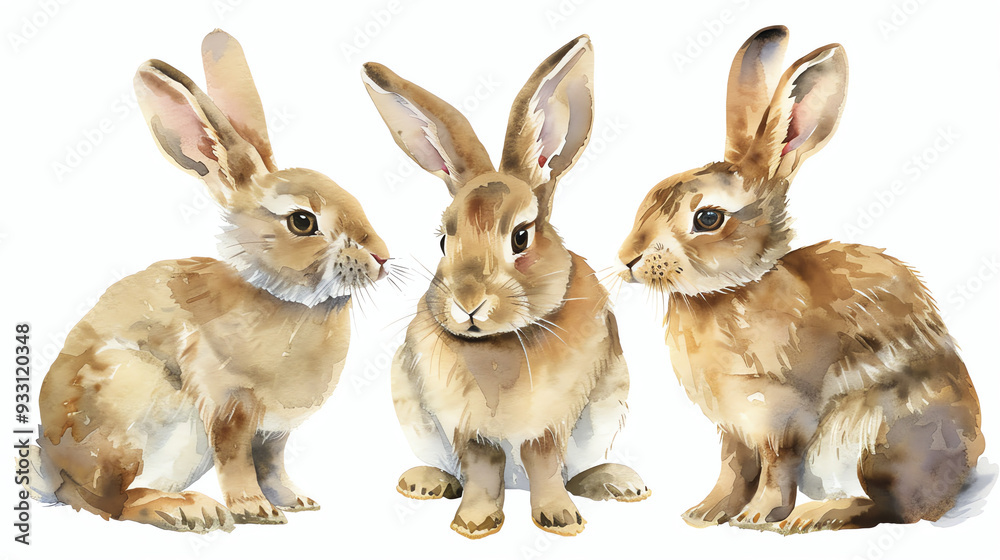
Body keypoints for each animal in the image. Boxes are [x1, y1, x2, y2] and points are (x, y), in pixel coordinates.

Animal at [22, 30, 391, 533]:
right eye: (302, 222)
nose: (382, 257)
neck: (287, 299)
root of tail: (53, 467)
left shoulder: (274, 431)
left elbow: (272, 464)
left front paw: (295, 501)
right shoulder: (230, 406)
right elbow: (236, 460)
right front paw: (254, 510)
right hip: (131, 409)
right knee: (107, 502)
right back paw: (187, 508)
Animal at [362, 35, 648, 539]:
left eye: (521, 237)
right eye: (443, 241)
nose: (468, 303)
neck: (500, 343)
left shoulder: (552, 423)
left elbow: (545, 463)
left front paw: (560, 520)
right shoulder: (469, 428)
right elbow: (482, 467)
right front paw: (474, 524)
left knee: (574, 473)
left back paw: (618, 482)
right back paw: (424, 482)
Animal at [615, 25, 984, 533]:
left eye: (708, 218)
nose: (627, 259)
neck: (732, 290)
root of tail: (967, 464)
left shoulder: (779, 415)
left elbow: (776, 467)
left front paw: (755, 517)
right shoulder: (733, 426)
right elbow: (733, 467)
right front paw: (706, 513)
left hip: (872, 440)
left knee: (890, 508)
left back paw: (813, 515)